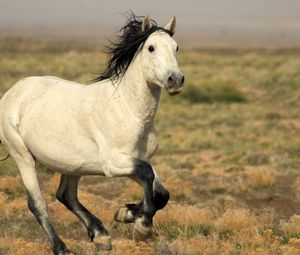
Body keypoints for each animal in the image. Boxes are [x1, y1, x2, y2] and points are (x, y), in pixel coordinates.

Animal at [0, 14, 183, 255]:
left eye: (176, 47)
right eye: (151, 48)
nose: (175, 79)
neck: (128, 110)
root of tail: (12, 93)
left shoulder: (136, 159)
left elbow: (160, 193)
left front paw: (125, 213)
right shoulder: (114, 164)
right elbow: (147, 175)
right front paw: (141, 227)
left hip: (73, 164)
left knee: (66, 195)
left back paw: (101, 236)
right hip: (22, 155)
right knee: (37, 204)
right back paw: (62, 248)